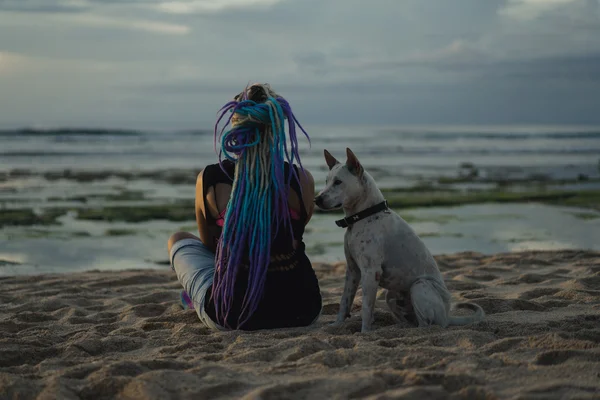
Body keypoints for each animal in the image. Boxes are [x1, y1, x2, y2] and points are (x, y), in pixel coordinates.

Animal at [316, 148, 486, 332]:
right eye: (326, 181)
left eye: (338, 182)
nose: (316, 199)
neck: (364, 216)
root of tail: (448, 315)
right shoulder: (353, 271)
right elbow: (344, 302)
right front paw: (336, 325)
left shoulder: (370, 271)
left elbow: (367, 308)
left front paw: (365, 332)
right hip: (391, 296)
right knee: (411, 320)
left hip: (420, 286)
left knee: (428, 324)